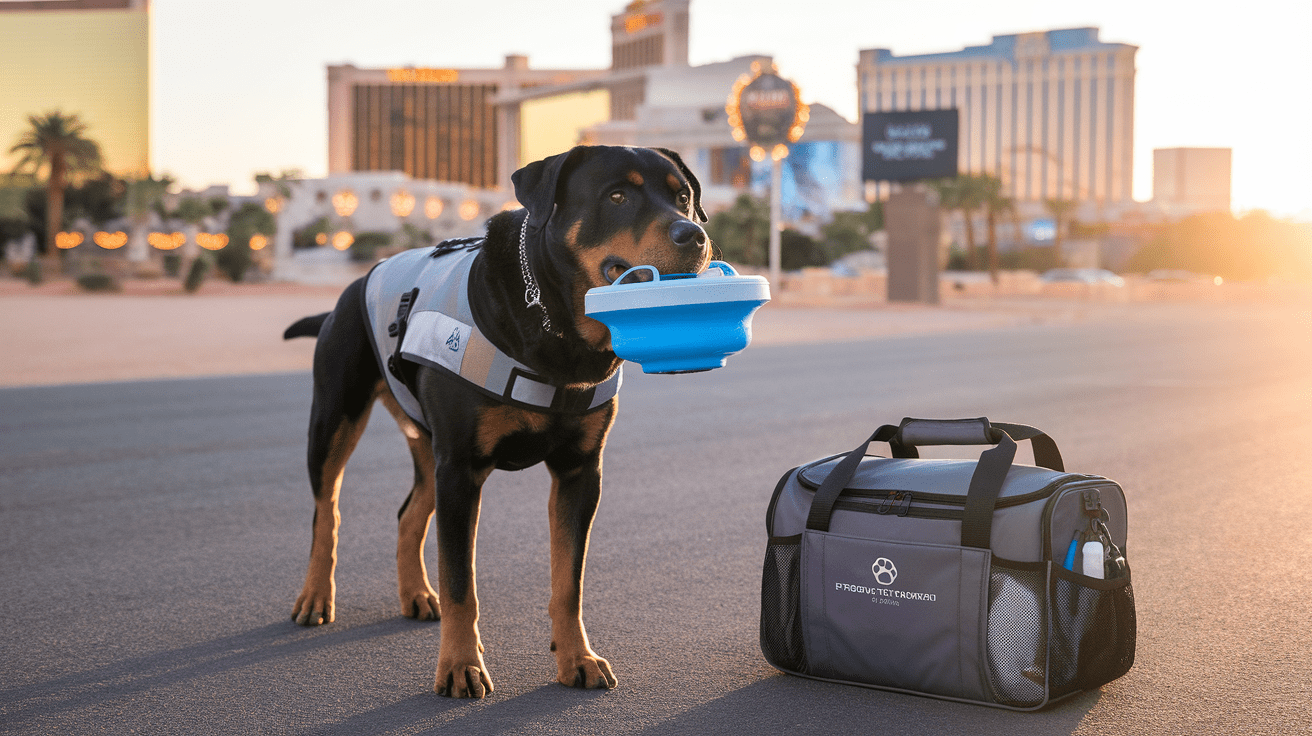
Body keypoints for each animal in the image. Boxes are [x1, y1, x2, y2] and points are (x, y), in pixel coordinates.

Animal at [278, 146, 708, 697]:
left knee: (409, 513)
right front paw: (461, 666)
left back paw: (417, 594)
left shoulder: (580, 471)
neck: (557, 326)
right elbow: (462, 583)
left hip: (426, 442)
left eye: (684, 197)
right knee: (326, 512)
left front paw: (578, 658)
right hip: (336, 418)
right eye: (617, 196)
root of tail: (356, 283)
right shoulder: (461, 469)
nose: (692, 233)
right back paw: (315, 596)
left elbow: (569, 580)